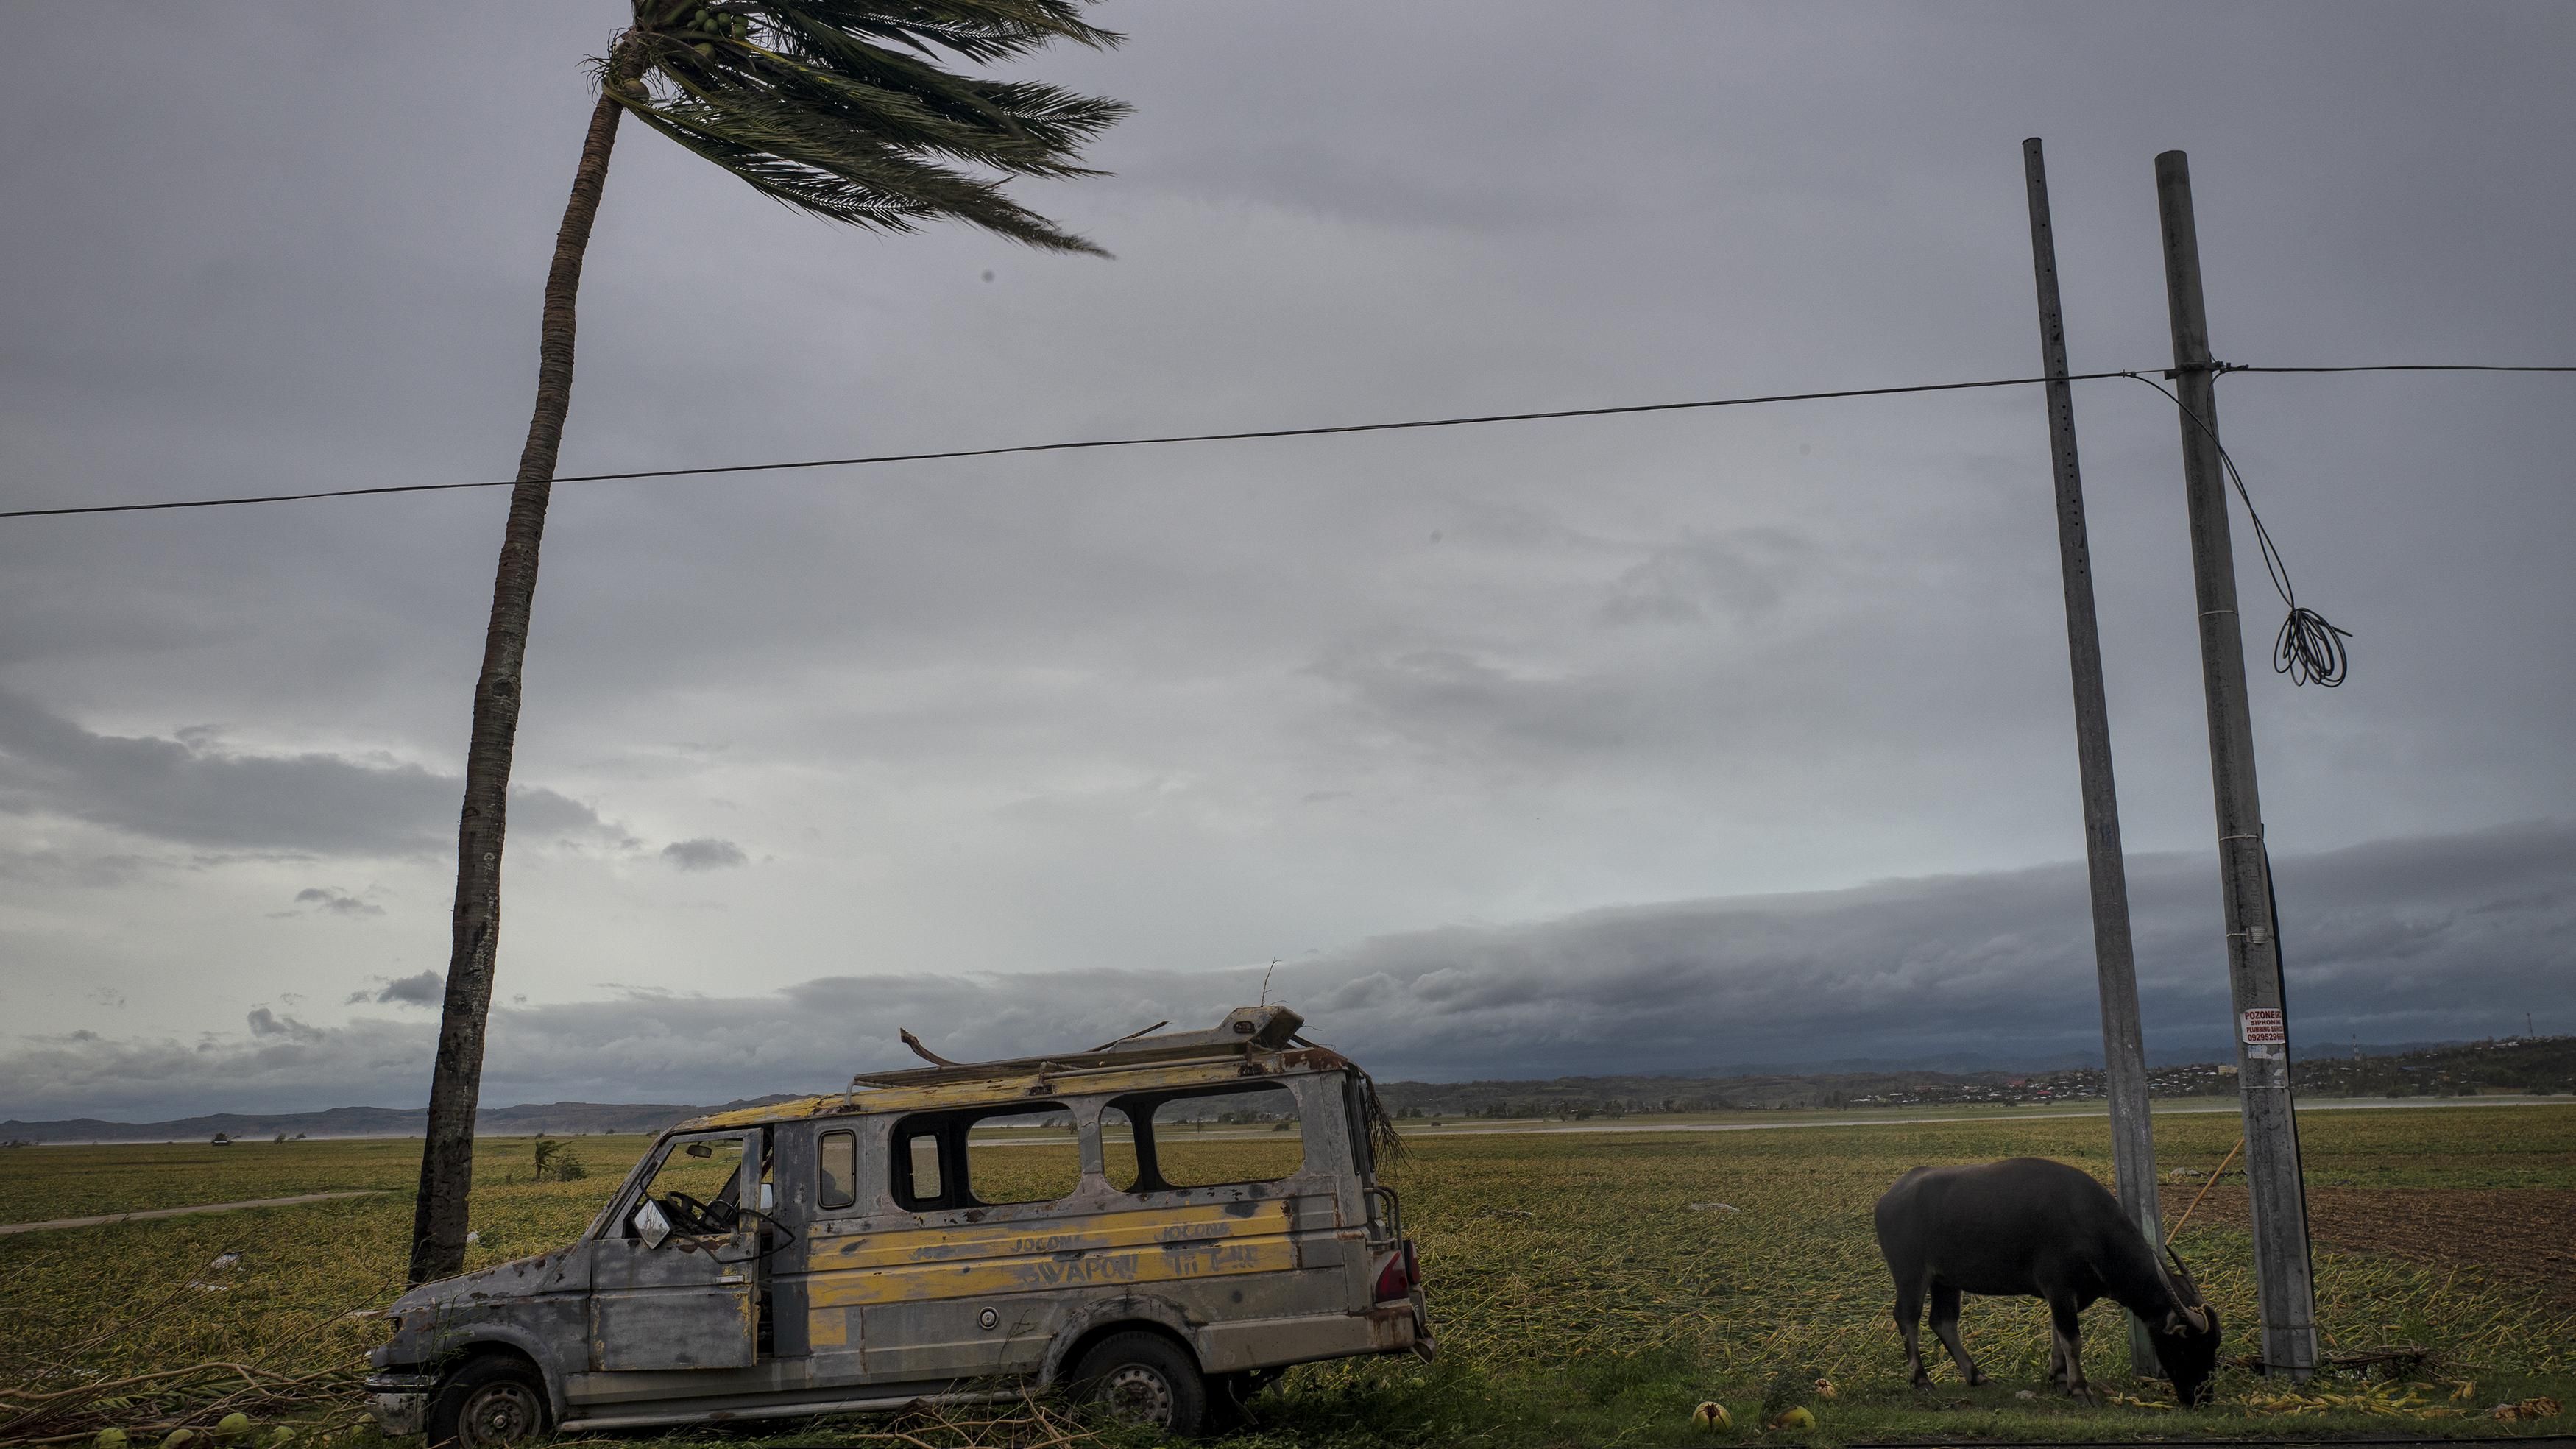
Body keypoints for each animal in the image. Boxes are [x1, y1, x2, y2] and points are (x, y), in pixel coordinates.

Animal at [1875, 1158, 2215, 1410]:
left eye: (2214, 1346)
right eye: (2187, 1347)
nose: (2202, 1398)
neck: (2089, 1226)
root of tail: (1889, 1198)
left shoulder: (2066, 1296)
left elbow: (2058, 1335)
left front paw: (2060, 1377)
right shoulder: (2060, 1288)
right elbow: (2073, 1340)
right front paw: (2080, 1389)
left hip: (1946, 1280)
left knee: (1943, 1322)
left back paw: (1977, 1376)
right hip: (1911, 1274)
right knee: (1908, 1318)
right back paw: (1921, 1380)